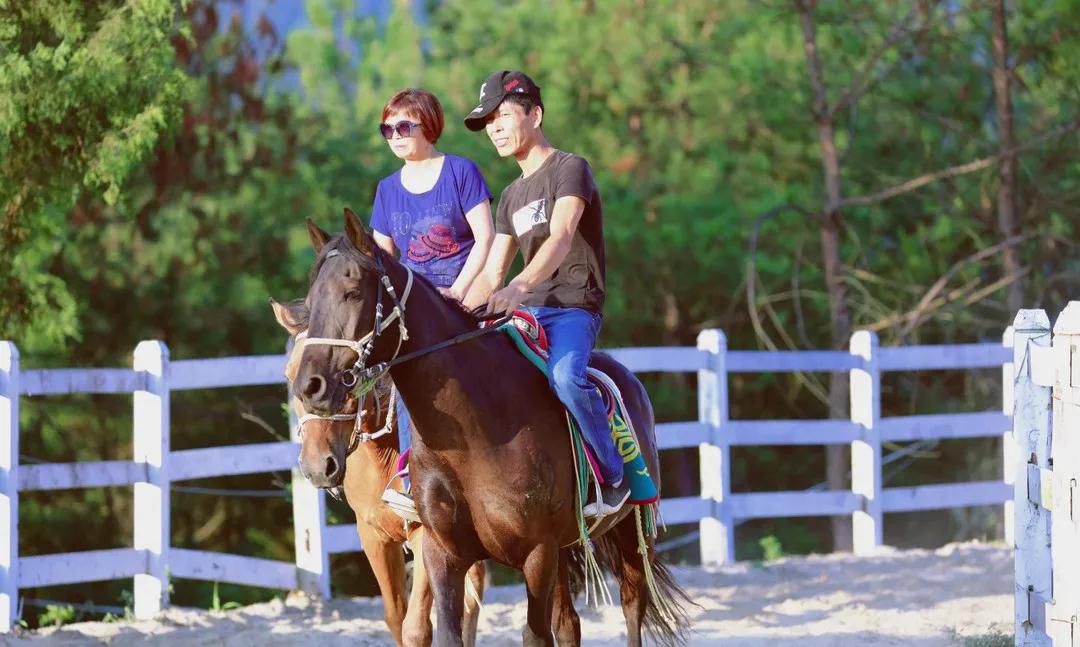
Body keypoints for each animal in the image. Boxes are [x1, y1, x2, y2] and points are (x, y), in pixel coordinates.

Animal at [272, 300, 488, 643]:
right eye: (289, 374)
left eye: (348, 375)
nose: (317, 466)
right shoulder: (373, 535)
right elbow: (396, 618)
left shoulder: (427, 535)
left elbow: (416, 628)